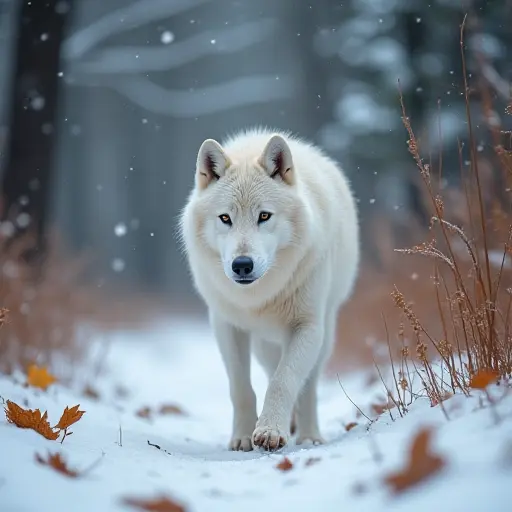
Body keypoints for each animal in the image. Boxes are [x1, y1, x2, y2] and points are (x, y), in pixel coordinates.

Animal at [181, 128, 360, 452]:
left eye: (264, 216)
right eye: (225, 218)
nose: (242, 265)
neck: (259, 298)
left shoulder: (307, 327)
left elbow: (284, 381)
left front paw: (271, 431)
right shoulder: (225, 326)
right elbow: (241, 388)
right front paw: (242, 437)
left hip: (324, 334)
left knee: (307, 386)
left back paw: (308, 435)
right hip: (265, 345)